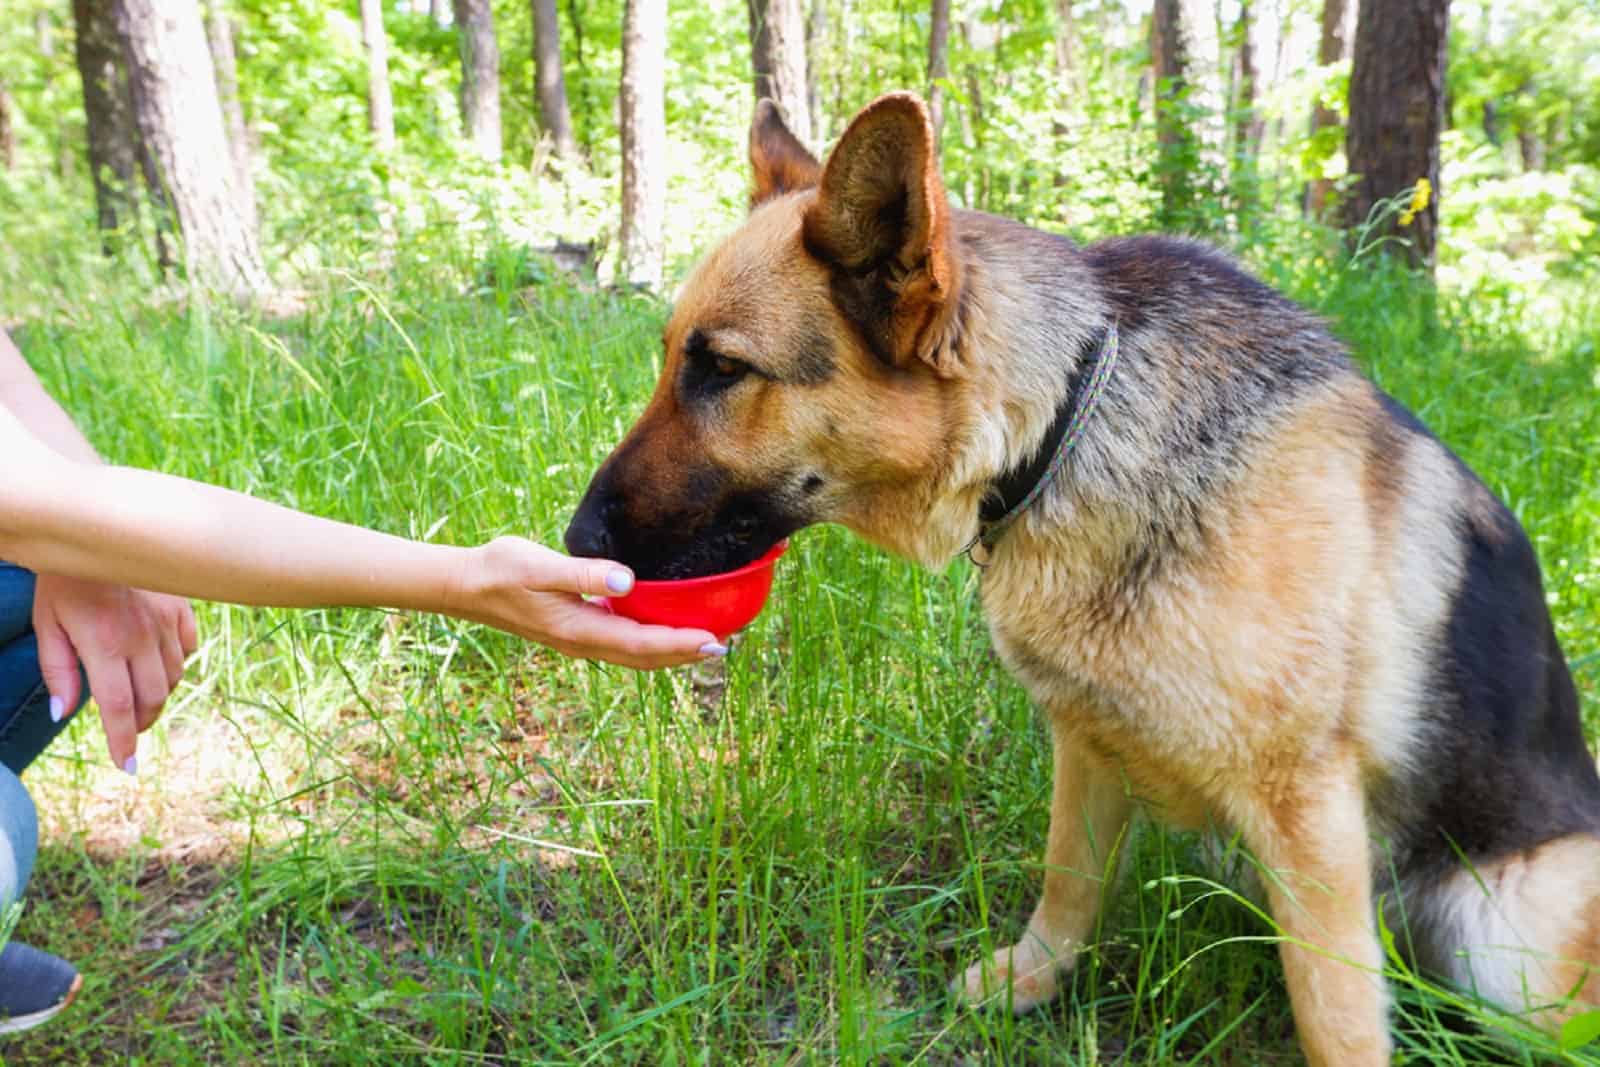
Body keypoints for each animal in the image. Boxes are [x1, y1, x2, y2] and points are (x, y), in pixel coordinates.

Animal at [566, 95, 1600, 1062]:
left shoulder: (1307, 810)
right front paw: (1032, 981)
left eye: (721, 369)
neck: (1064, 422)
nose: (575, 539)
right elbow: (1069, 876)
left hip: (1507, 939)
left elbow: (1334, 1015)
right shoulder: (1088, 736)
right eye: (674, 358)